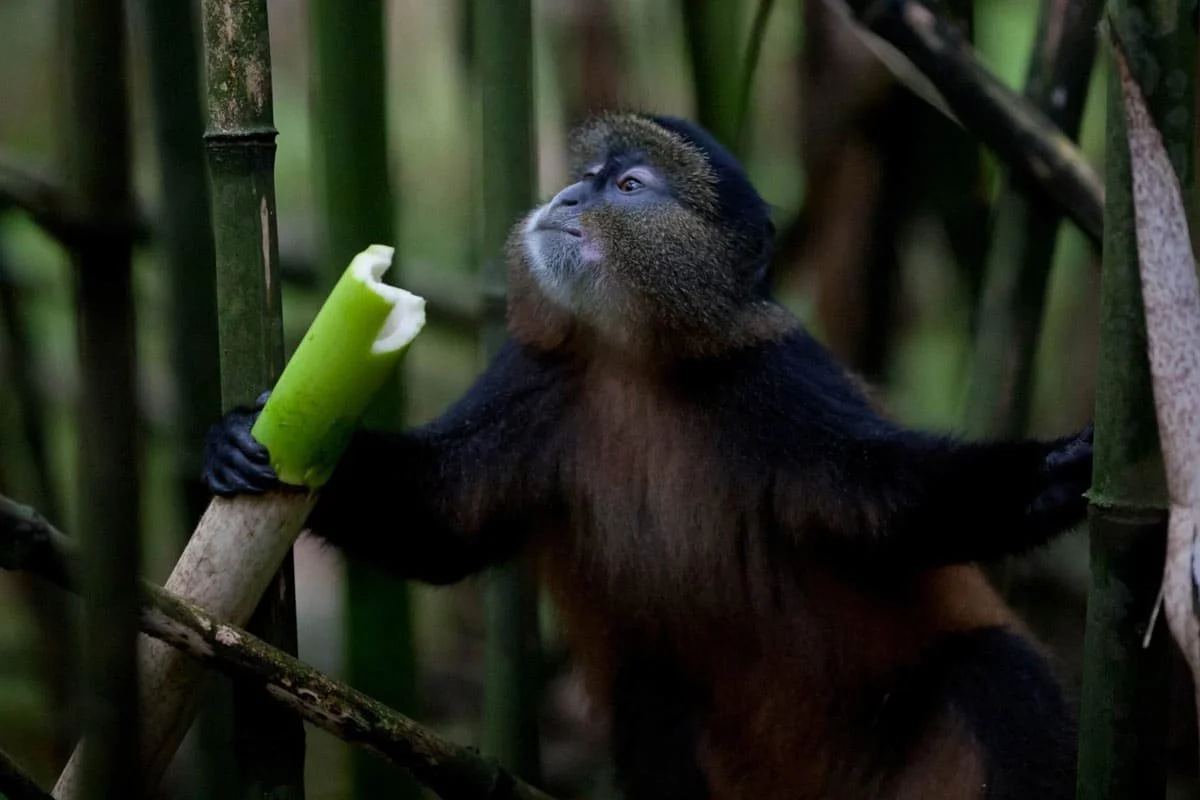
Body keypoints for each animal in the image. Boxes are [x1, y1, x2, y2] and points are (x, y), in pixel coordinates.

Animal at [204, 112, 1091, 800]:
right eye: (585, 176)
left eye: (628, 187)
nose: (565, 197)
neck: (636, 363)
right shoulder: (535, 380)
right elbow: (440, 520)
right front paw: (237, 441)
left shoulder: (782, 384)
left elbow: (891, 502)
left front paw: (1059, 473)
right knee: (654, 706)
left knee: (998, 671)